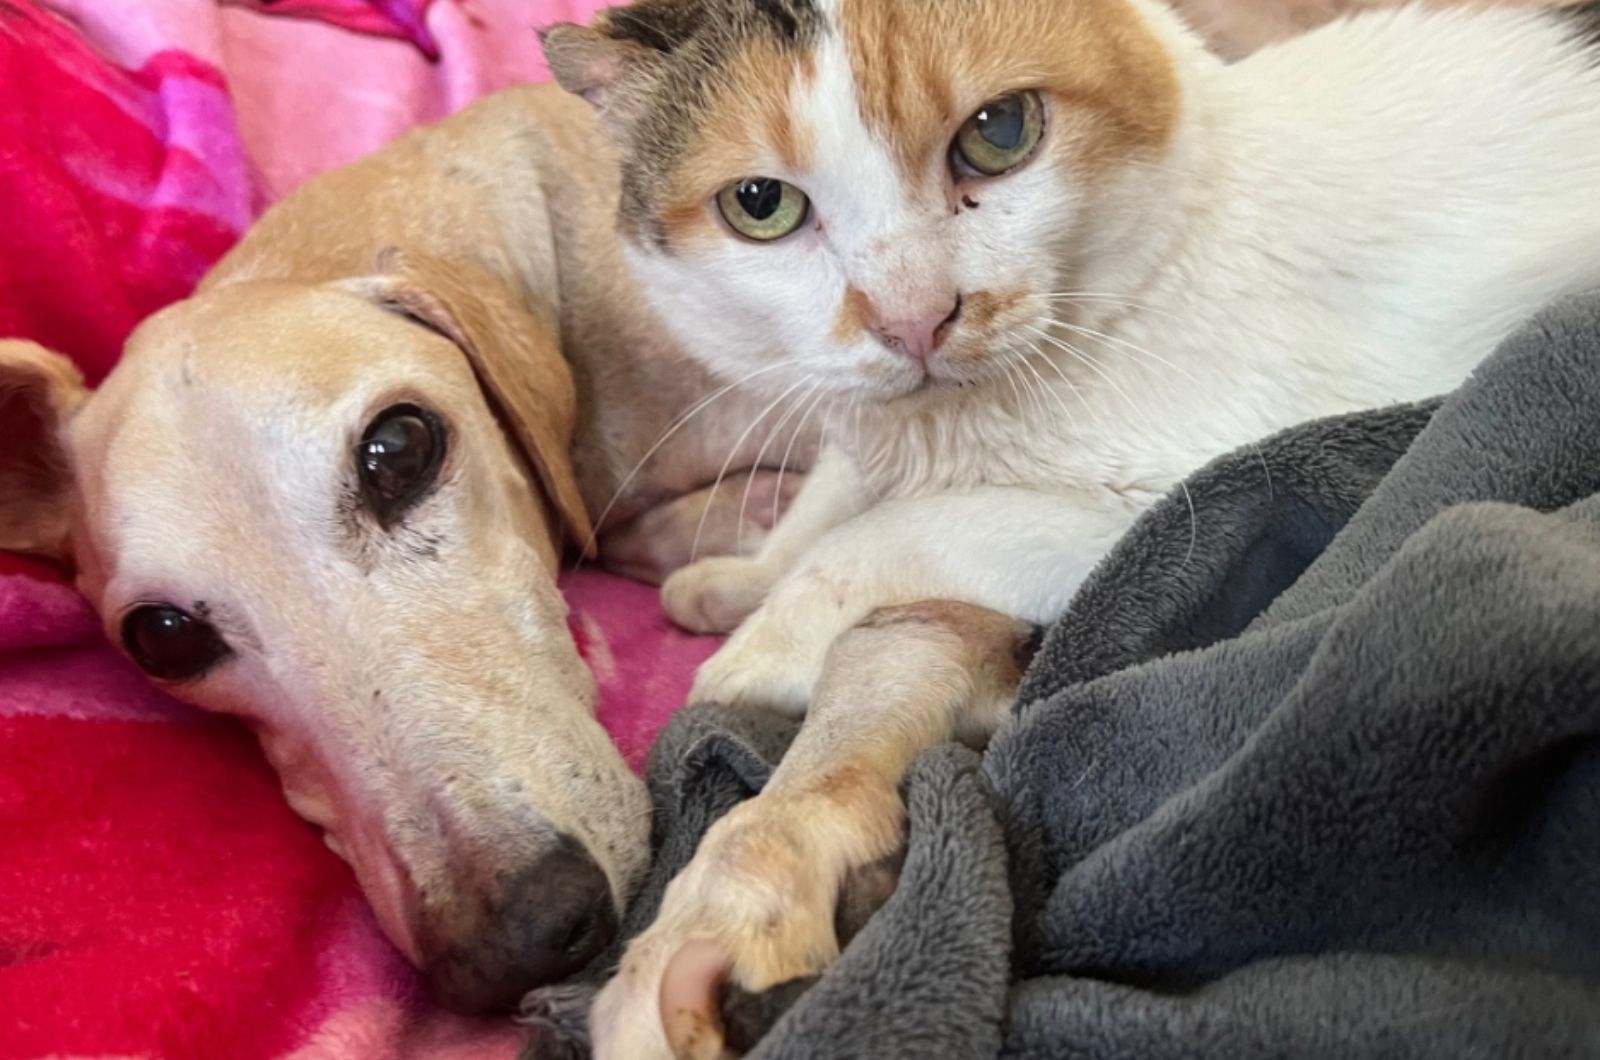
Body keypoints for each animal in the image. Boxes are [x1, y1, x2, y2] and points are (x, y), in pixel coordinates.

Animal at [540, 2, 1600, 1056]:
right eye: (761, 205)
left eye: (999, 133)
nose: (916, 319)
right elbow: (834, 494)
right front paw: (743, 575)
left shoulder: (1198, 489)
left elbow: (883, 539)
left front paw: (759, 646)